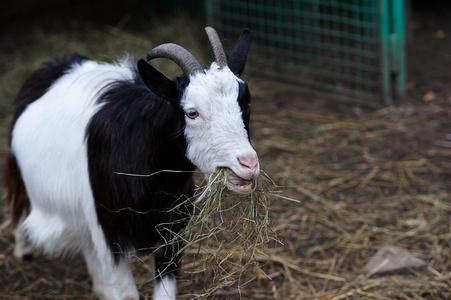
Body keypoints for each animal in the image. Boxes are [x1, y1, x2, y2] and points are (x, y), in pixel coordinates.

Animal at [3, 27, 260, 298]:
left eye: (247, 102)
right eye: (192, 112)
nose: (248, 164)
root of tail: (51, 67)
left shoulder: (172, 230)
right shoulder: (110, 232)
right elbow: (127, 293)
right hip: (19, 171)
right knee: (18, 202)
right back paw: (23, 250)